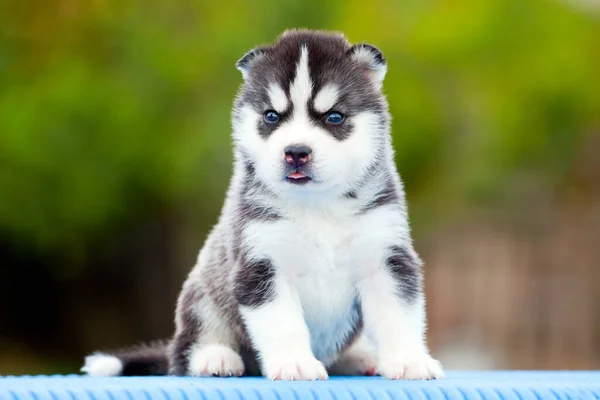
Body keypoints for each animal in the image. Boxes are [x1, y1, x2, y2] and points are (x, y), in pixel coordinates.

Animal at [82, 28, 442, 382]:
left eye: (334, 117)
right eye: (271, 116)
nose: (296, 152)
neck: (317, 207)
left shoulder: (385, 258)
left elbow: (399, 316)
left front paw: (409, 361)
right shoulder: (262, 266)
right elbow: (284, 324)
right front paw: (295, 364)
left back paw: (359, 357)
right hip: (202, 296)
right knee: (186, 350)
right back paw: (214, 358)